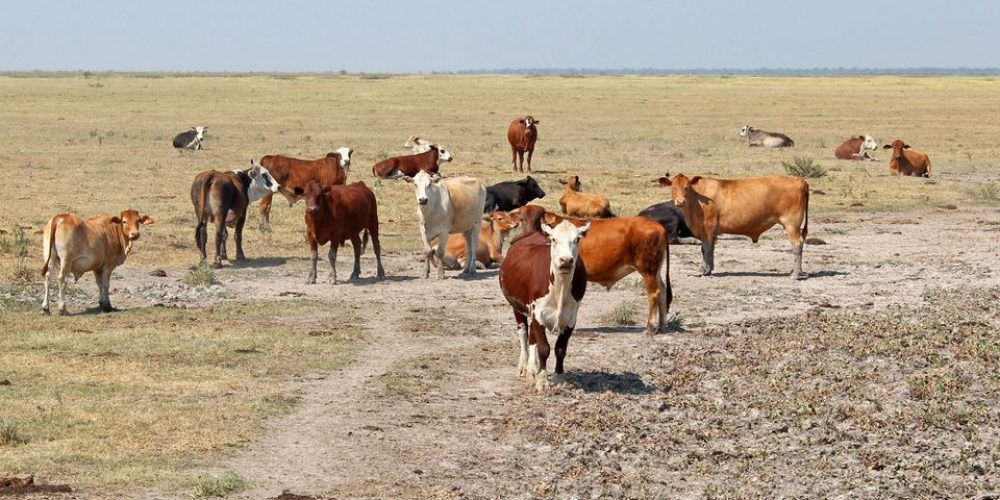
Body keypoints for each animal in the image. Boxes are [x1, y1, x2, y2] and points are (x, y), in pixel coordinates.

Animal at [498, 221, 588, 392]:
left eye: (577, 239)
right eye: (554, 239)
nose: (566, 260)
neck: (560, 287)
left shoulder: (571, 318)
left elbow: (560, 349)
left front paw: (558, 377)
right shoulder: (539, 315)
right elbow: (544, 348)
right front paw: (542, 380)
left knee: (532, 338)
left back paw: (532, 369)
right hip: (518, 307)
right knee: (524, 334)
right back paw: (525, 367)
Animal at [540, 209, 672, 334]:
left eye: (576, 239)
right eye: (554, 239)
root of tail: (658, 225)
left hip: (647, 270)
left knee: (654, 293)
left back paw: (650, 327)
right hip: (655, 270)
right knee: (663, 290)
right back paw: (661, 326)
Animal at [656, 174, 812, 280]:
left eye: (687, 187)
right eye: (673, 187)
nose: (680, 201)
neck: (697, 198)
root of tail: (800, 180)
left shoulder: (707, 227)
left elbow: (705, 248)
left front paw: (702, 270)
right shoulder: (712, 231)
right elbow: (710, 249)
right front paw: (709, 269)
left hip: (791, 225)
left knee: (797, 245)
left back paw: (795, 274)